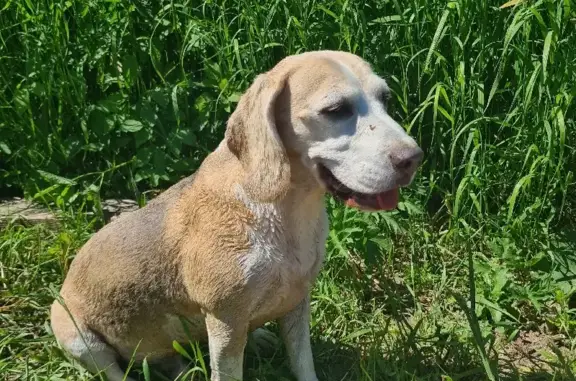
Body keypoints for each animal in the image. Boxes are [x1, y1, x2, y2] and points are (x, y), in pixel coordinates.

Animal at [49, 50, 424, 380]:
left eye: (386, 99)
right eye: (336, 109)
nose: (413, 158)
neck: (285, 211)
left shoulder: (298, 301)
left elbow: (303, 363)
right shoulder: (224, 319)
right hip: (77, 338)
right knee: (115, 372)